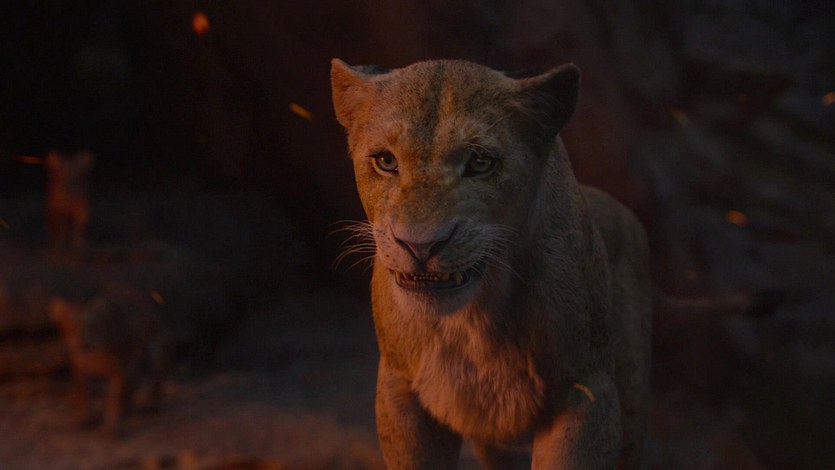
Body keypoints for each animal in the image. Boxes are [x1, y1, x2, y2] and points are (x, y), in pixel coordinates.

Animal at [331, 59, 651, 469]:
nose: (420, 245)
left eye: (481, 162)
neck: (472, 321)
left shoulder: (586, 388)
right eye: (386, 161)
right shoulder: (400, 388)